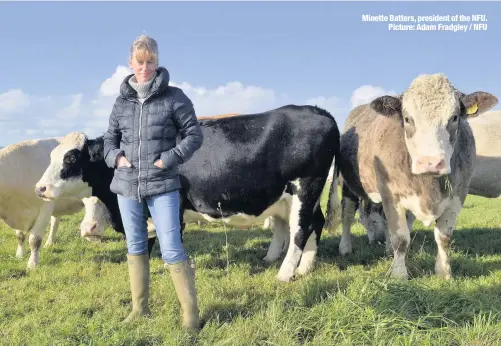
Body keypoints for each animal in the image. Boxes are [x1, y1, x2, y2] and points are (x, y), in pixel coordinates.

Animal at [0, 139, 91, 268]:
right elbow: (20, 236)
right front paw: (20, 255)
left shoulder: (45, 208)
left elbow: (35, 239)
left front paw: (32, 264)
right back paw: (49, 243)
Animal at [35, 104, 340, 282]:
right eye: (51, 156)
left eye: (71, 158)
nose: (40, 188)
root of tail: (316, 110)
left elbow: (167, 241)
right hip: (297, 196)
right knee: (314, 223)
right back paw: (303, 266)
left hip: (306, 187)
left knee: (300, 230)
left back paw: (285, 273)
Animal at [326, 74, 498, 280]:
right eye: (407, 118)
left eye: (455, 117)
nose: (431, 162)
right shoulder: (390, 194)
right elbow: (400, 238)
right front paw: (399, 274)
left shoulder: (458, 195)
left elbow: (444, 237)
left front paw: (443, 272)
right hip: (348, 185)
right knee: (347, 216)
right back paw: (345, 247)